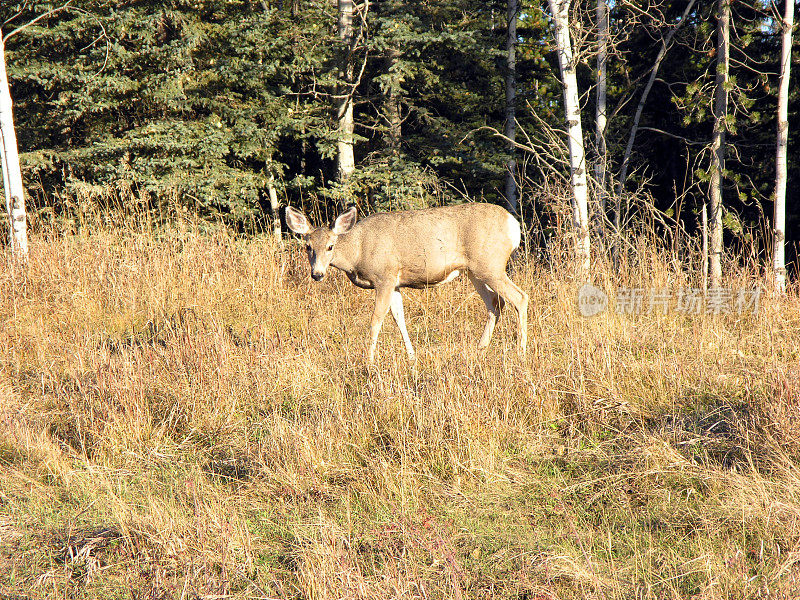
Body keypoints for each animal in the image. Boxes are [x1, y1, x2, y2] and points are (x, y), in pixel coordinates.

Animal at [284, 202, 528, 364]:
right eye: (308, 247)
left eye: (330, 246)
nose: (317, 274)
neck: (358, 251)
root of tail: (513, 225)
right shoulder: (396, 283)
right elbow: (399, 318)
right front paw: (412, 357)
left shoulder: (385, 276)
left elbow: (376, 319)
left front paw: (369, 361)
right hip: (475, 271)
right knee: (496, 303)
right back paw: (480, 348)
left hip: (490, 265)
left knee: (519, 297)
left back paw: (520, 352)